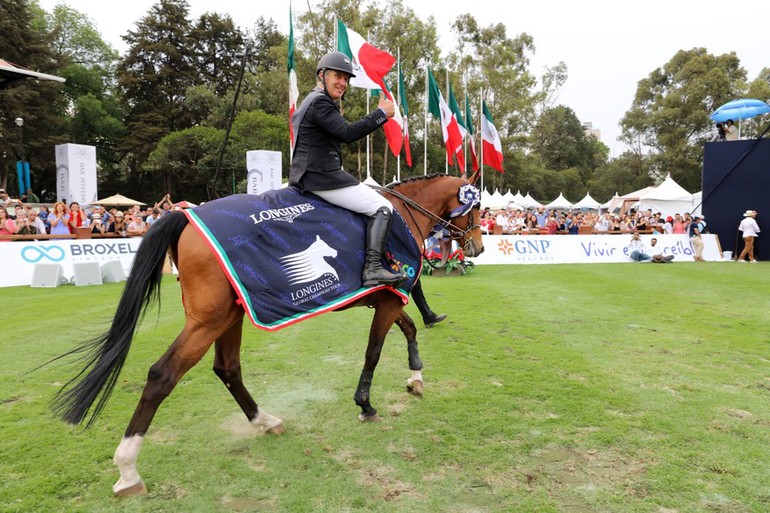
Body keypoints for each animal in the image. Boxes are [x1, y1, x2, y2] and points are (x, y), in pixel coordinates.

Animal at [52, 174, 480, 494]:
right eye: (477, 209)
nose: (476, 244)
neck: (401, 213)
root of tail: (186, 216)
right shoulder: (391, 298)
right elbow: (374, 351)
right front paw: (366, 404)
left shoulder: (387, 299)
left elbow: (409, 329)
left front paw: (416, 377)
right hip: (207, 321)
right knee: (163, 374)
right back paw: (127, 469)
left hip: (230, 315)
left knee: (227, 368)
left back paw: (265, 420)